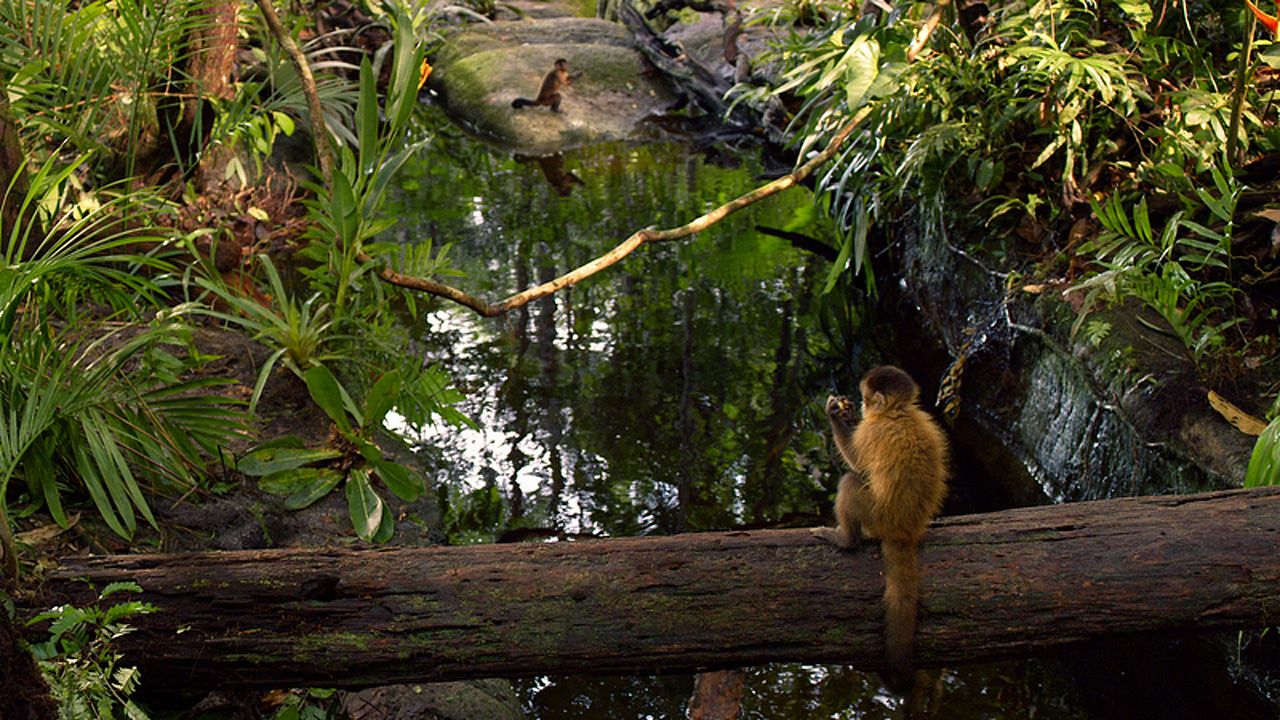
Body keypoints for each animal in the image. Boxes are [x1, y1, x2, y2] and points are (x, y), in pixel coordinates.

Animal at [808, 363, 952, 691]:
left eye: (865, 399)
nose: (860, 407)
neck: (897, 412)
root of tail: (904, 529)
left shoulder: (872, 430)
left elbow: (857, 463)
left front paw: (835, 415)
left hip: (876, 515)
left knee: (850, 483)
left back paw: (846, 540)